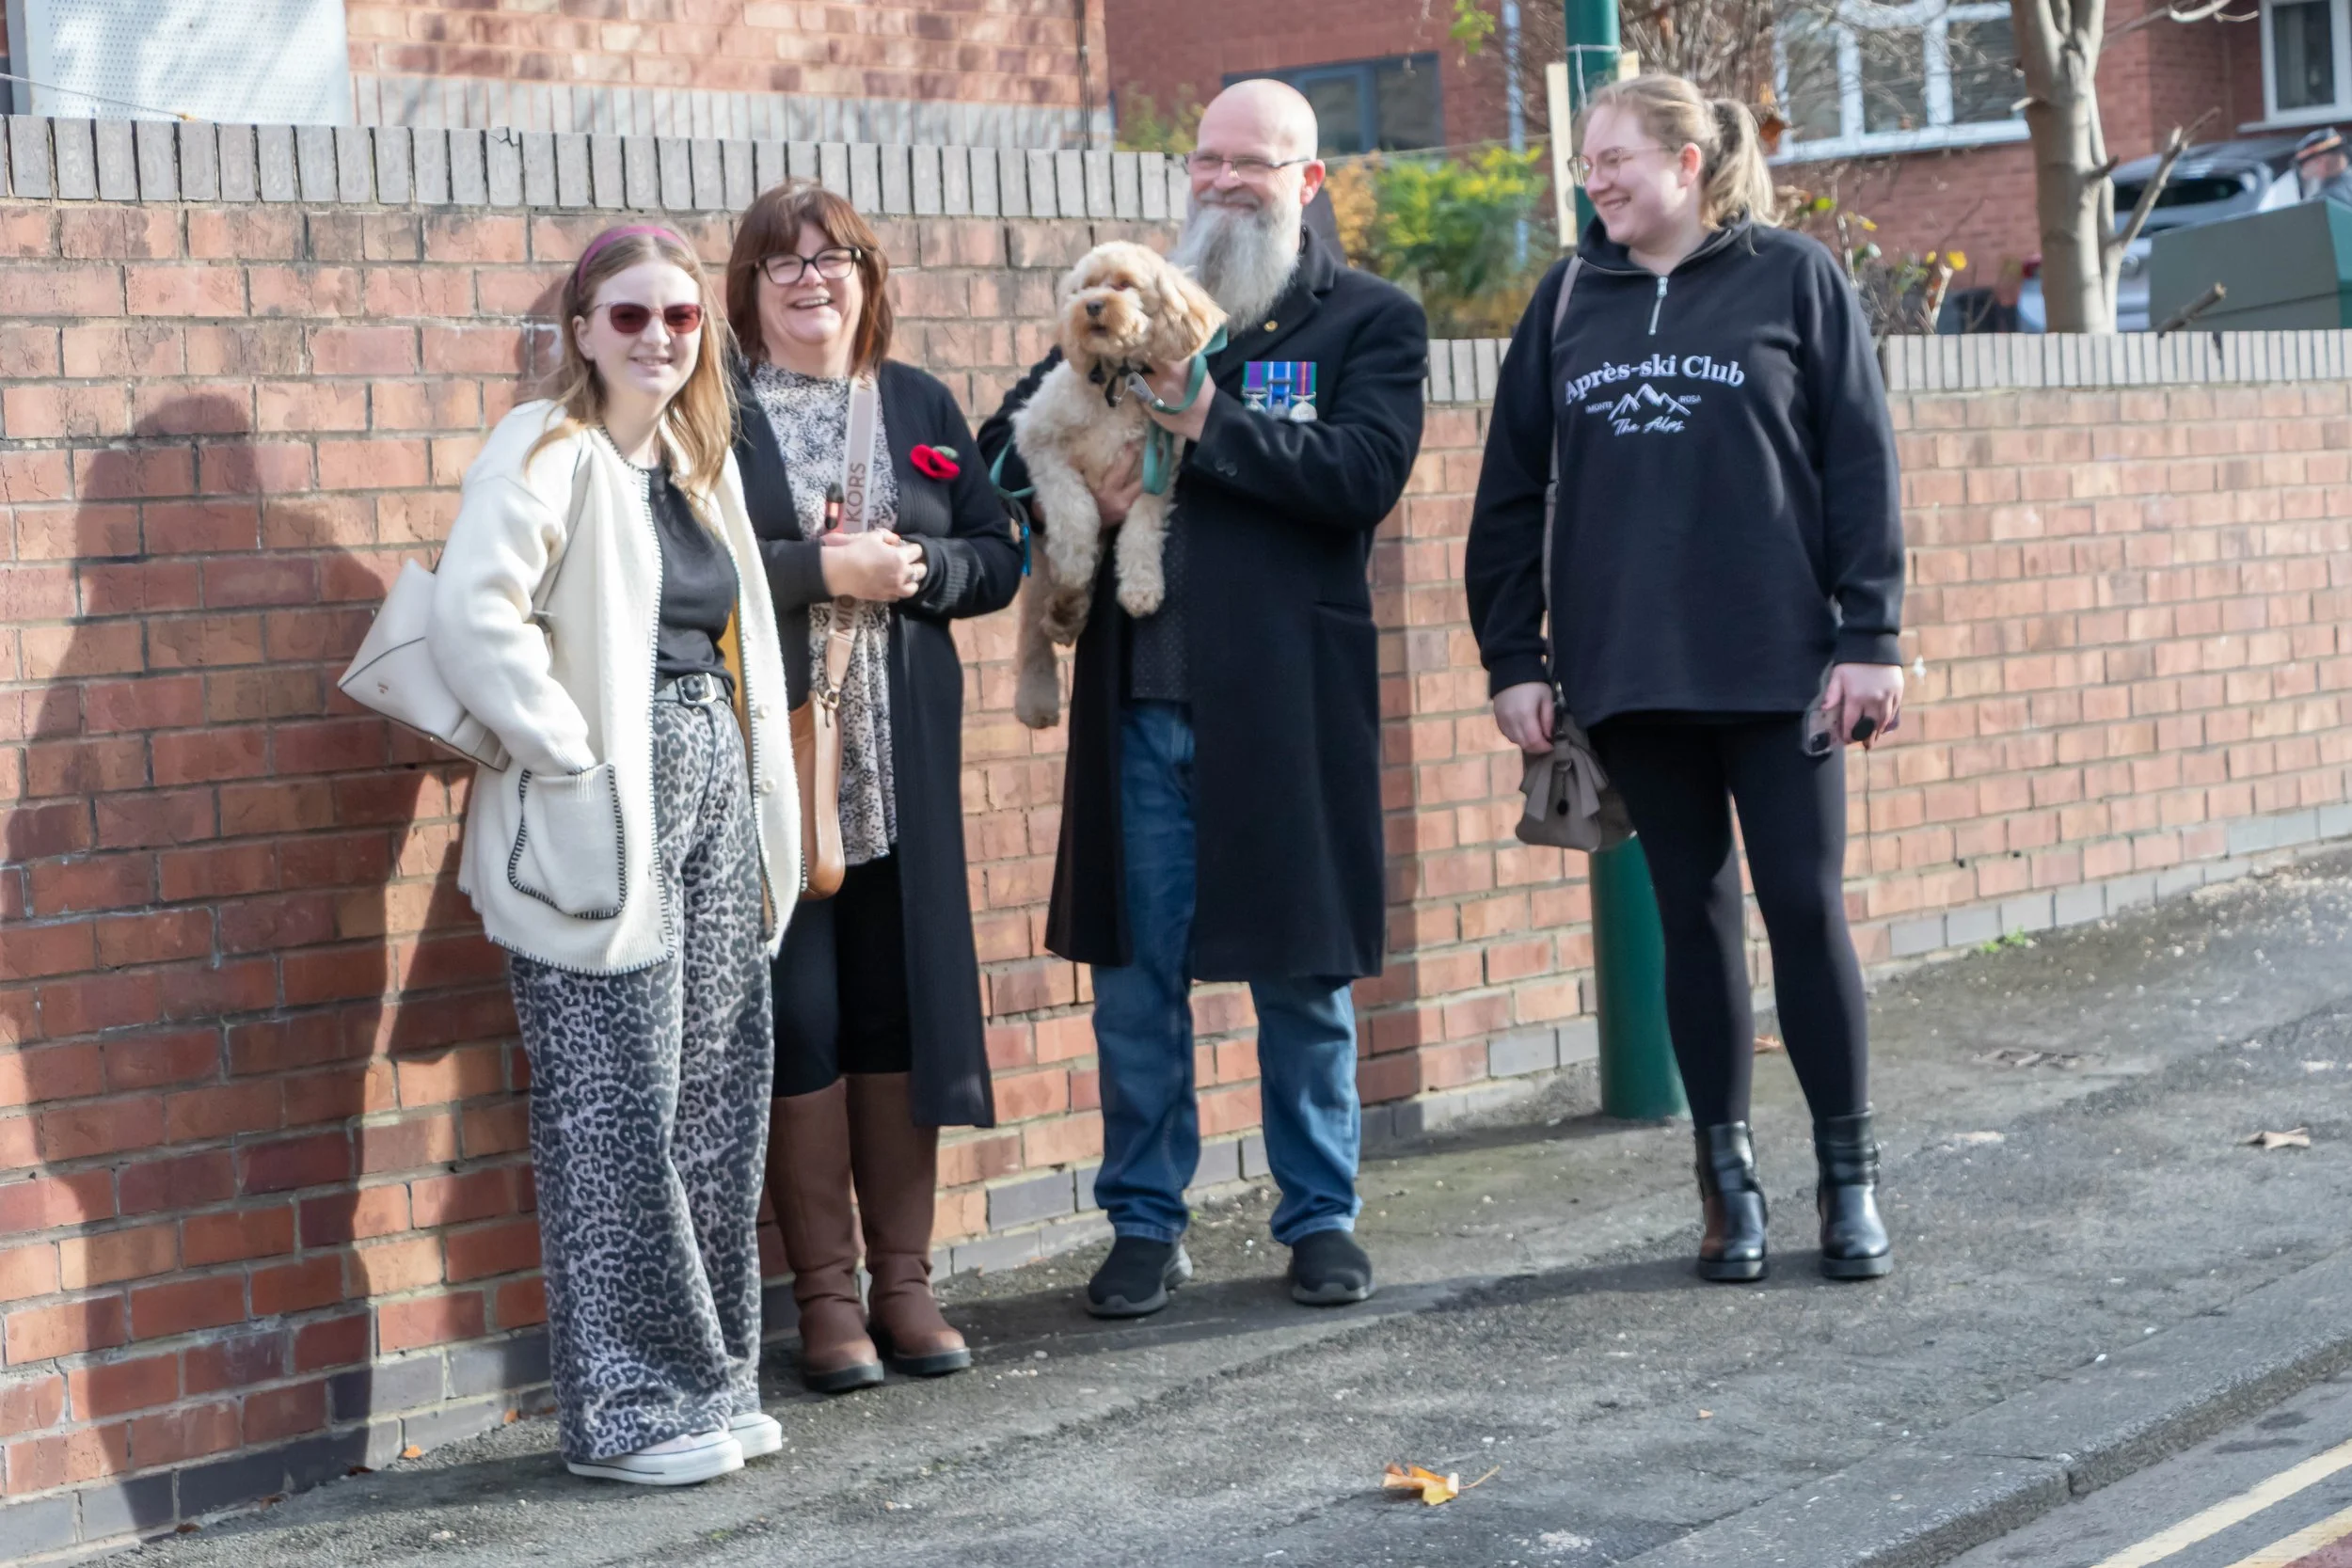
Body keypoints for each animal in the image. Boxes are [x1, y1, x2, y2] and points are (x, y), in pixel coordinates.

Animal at [1007, 241, 1225, 729]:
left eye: (1125, 284)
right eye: (1086, 286)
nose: (1091, 306)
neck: (1120, 383)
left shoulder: (1158, 473)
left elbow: (1141, 534)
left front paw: (1142, 589)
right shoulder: (1039, 442)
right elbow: (1076, 511)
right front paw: (1074, 560)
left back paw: (1068, 614)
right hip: (1037, 572)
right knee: (1033, 633)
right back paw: (1039, 691)